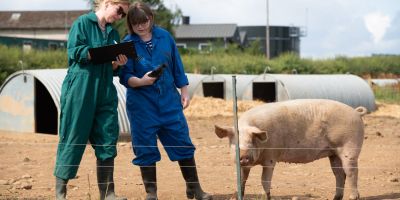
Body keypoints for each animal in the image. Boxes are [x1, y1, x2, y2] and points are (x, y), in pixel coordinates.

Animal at [214, 99, 368, 200]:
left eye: (251, 141)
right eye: (234, 143)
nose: (244, 156)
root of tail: (356, 112)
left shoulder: (271, 157)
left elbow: (264, 180)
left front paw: (266, 197)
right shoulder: (242, 165)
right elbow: (241, 180)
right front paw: (235, 197)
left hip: (350, 147)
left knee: (352, 172)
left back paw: (353, 197)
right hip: (334, 153)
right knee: (339, 174)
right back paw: (335, 198)